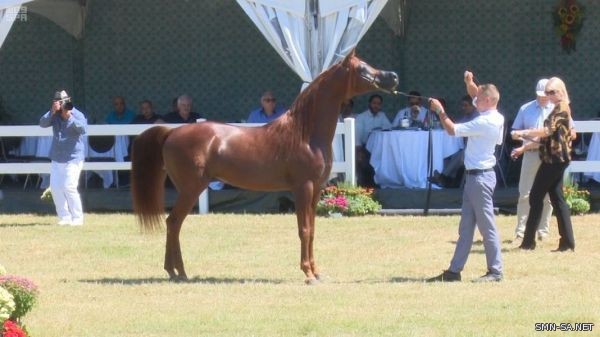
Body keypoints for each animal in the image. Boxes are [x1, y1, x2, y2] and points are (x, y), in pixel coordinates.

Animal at [131, 51, 398, 284]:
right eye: (362, 69)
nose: (393, 77)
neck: (304, 134)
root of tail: (172, 132)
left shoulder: (317, 190)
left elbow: (312, 230)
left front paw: (317, 272)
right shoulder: (303, 188)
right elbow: (304, 229)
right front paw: (308, 274)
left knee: (174, 224)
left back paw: (178, 272)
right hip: (190, 189)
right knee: (174, 222)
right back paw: (177, 272)